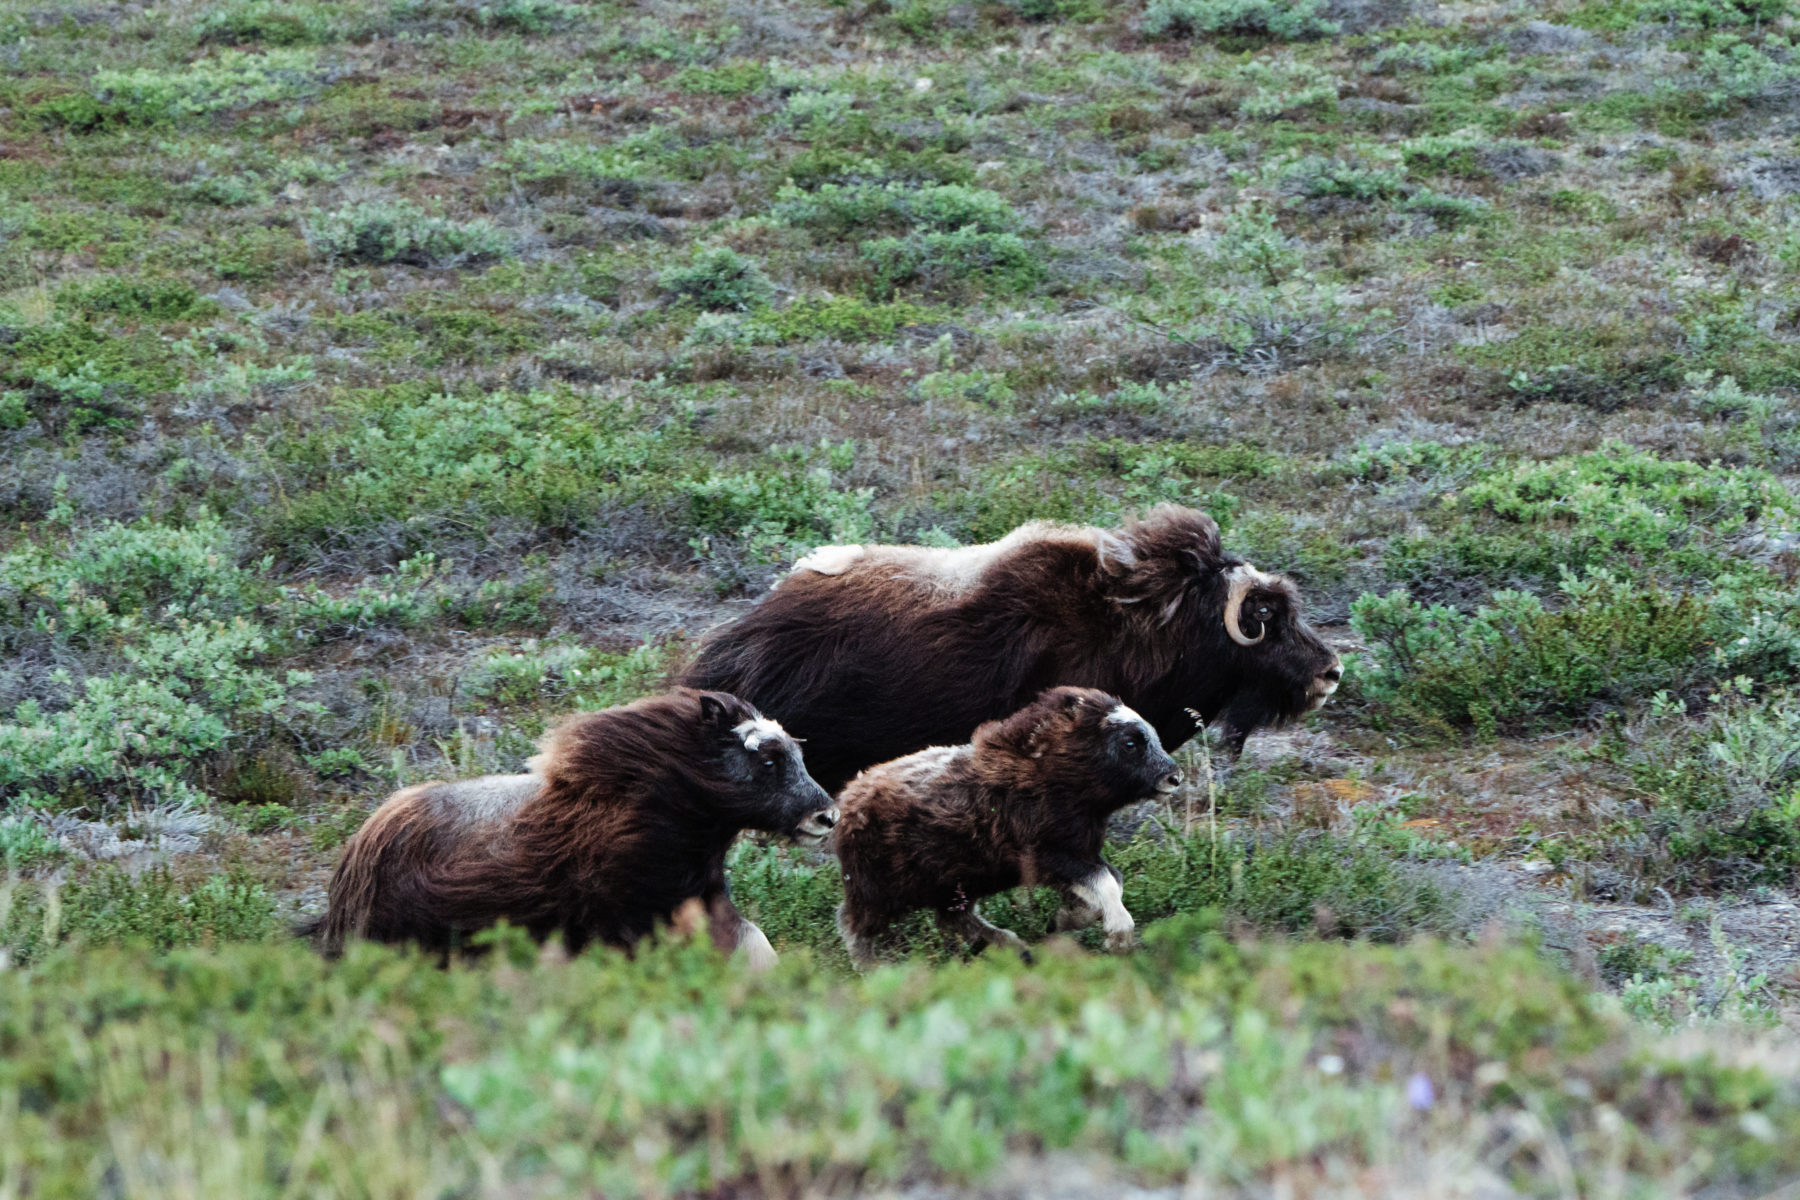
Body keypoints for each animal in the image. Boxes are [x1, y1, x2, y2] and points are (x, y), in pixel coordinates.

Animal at [828, 683, 1180, 964]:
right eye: (1131, 743)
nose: (1174, 777)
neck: (1057, 774)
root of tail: (847, 799)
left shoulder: (1080, 850)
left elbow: (1113, 880)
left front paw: (1061, 920)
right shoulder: (1048, 855)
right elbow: (1106, 883)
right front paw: (1119, 938)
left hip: (953, 887)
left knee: (953, 920)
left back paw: (1015, 948)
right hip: (877, 890)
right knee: (853, 925)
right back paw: (873, 969)